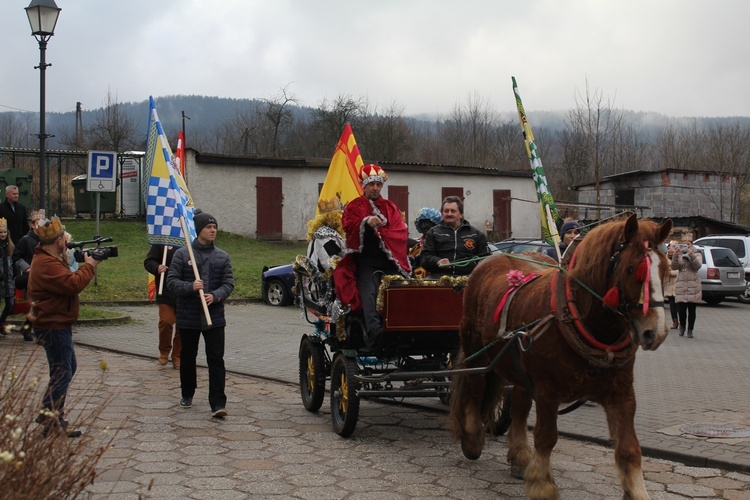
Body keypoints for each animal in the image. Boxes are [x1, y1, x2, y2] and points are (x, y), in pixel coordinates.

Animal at [452, 216, 676, 500]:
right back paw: (472, 439)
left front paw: (637, 491)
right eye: (631, 269)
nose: (655, 333)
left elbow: (630, 449)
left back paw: (520, 457)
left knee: (519, 409)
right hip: (474, 349)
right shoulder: (548, 391)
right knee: (474, 386)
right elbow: (546, 438)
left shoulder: (622, 394)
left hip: (518, 366)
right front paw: (542, 485)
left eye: (666, 269)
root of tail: (493, 260)